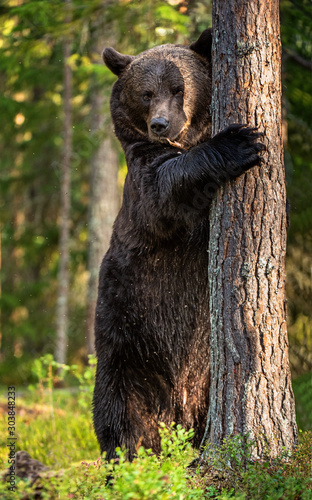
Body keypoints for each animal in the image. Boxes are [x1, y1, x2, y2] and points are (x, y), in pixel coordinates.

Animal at [91, 29, 264, 460]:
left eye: (179, 87)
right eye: (145, 93)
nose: (160, 124)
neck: (185, 140)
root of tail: (176, 410)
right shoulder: (142, 178)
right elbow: (166, 188)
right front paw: (238, 141)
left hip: (202, 375)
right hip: (126, 344)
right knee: (119, 411)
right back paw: (130, 457)